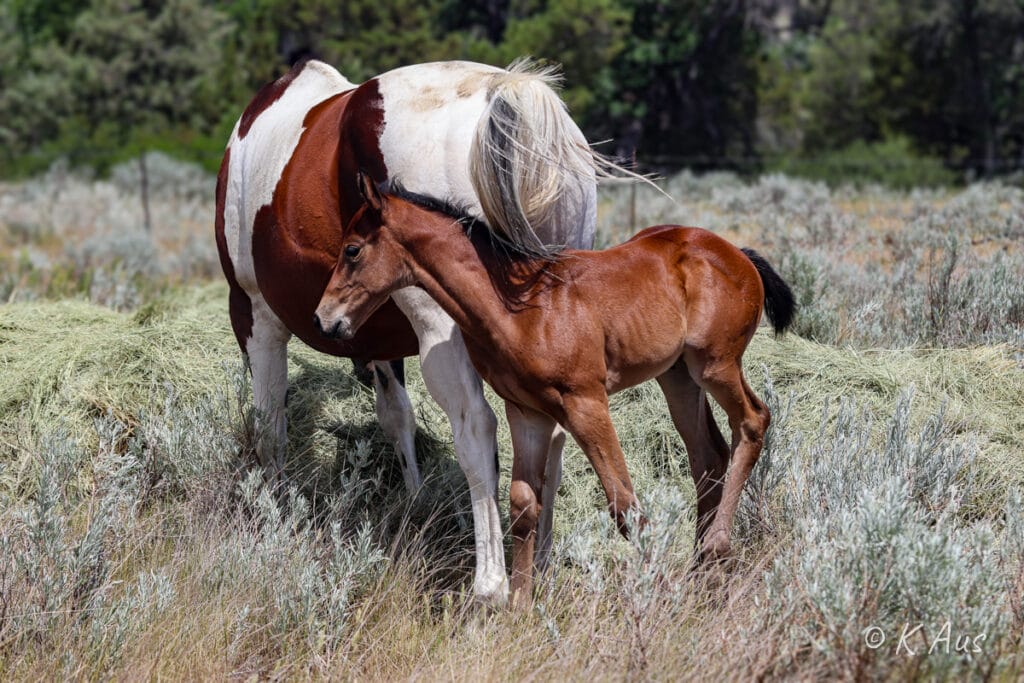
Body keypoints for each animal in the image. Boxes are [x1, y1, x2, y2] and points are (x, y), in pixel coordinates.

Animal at [210, 57, 602, 602]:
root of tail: (502, 96)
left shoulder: (255, 318)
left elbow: (271, 425)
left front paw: (271, 508)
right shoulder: (376, 336)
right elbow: (397, 415)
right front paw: (415, 504)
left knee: (475, 426)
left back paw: (490, 583)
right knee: (555, 435)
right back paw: (538, 568)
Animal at [315, 174, 794, 606]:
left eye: (352, 250)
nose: (325, 319)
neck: (520, 306)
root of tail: (738, 253)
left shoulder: (586, 403)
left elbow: (624, 505)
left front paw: (656, 593)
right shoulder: (528, 413)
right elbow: (524, 506)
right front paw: (520, 607)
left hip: (715, 365)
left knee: (753, 421)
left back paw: (715, 548)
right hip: (677, 377)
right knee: (708, 457)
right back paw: (700, 571)